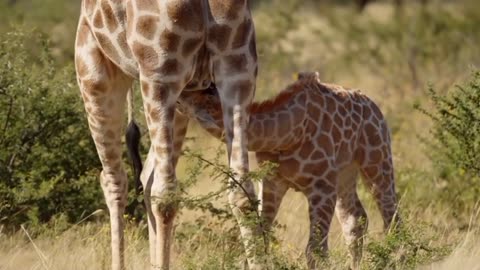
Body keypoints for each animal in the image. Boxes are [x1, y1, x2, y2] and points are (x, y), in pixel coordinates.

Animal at [178, 72, 400, 270]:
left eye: (196, 90)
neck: (288, 134)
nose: (178, 96)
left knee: (391, 215)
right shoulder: (272, 182)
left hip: (377, 162)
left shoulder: (322, 186)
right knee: (355, 219)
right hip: (345, 174)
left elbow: (315, 252)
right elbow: (263, 237)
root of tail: (375, 108)